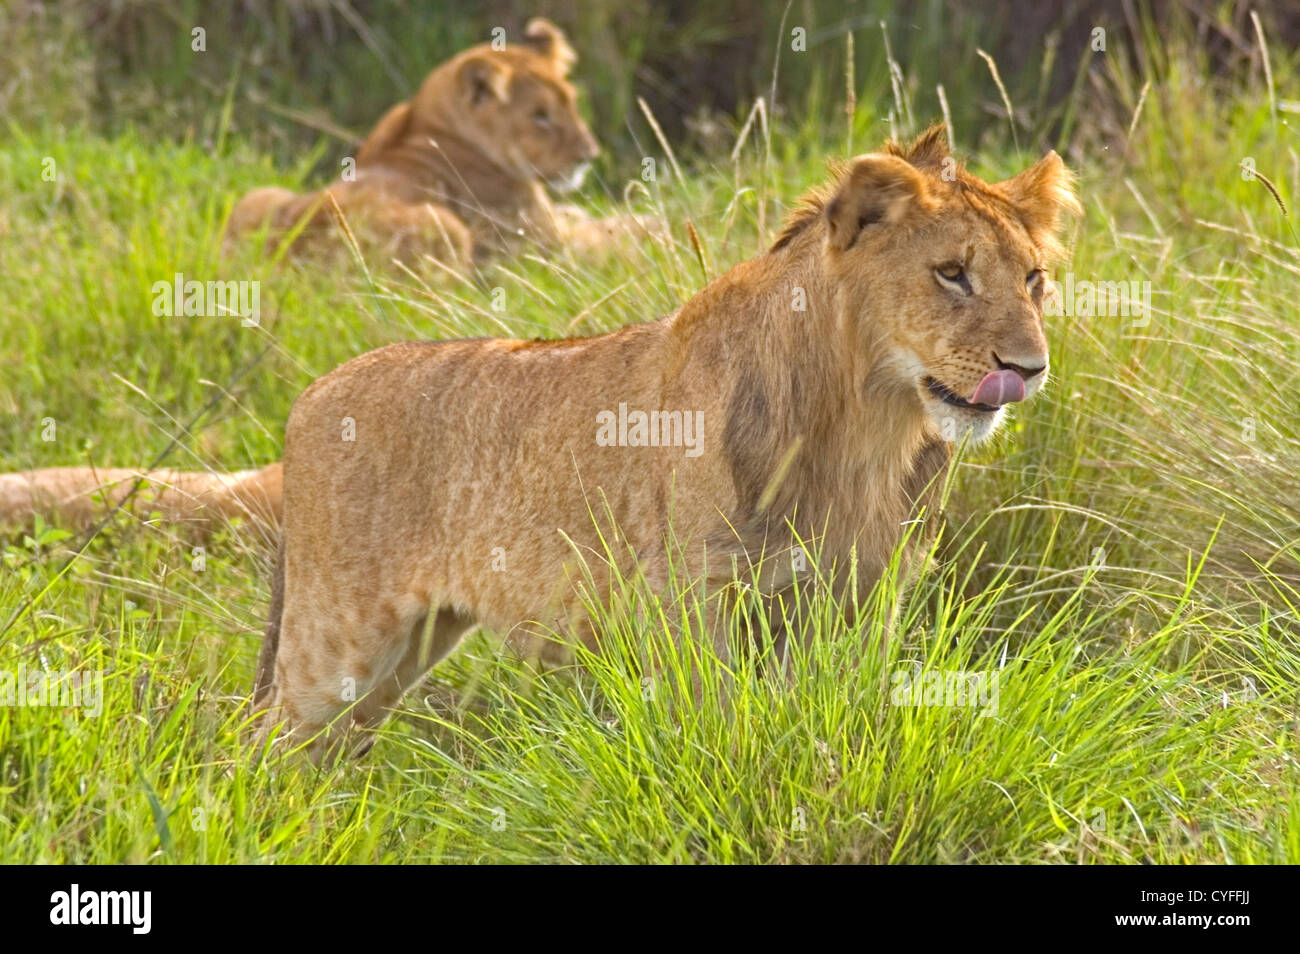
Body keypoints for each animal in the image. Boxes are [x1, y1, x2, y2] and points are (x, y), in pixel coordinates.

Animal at [250, 125, 1080, 755]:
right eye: (952, 274)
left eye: (1033, 279)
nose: (1028, 369)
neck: (866, 426)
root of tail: (311, 394)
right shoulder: (694, 604)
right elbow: (726, 734)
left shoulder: (865, 601)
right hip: (335, 646)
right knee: (262, 751)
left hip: (410, 648)